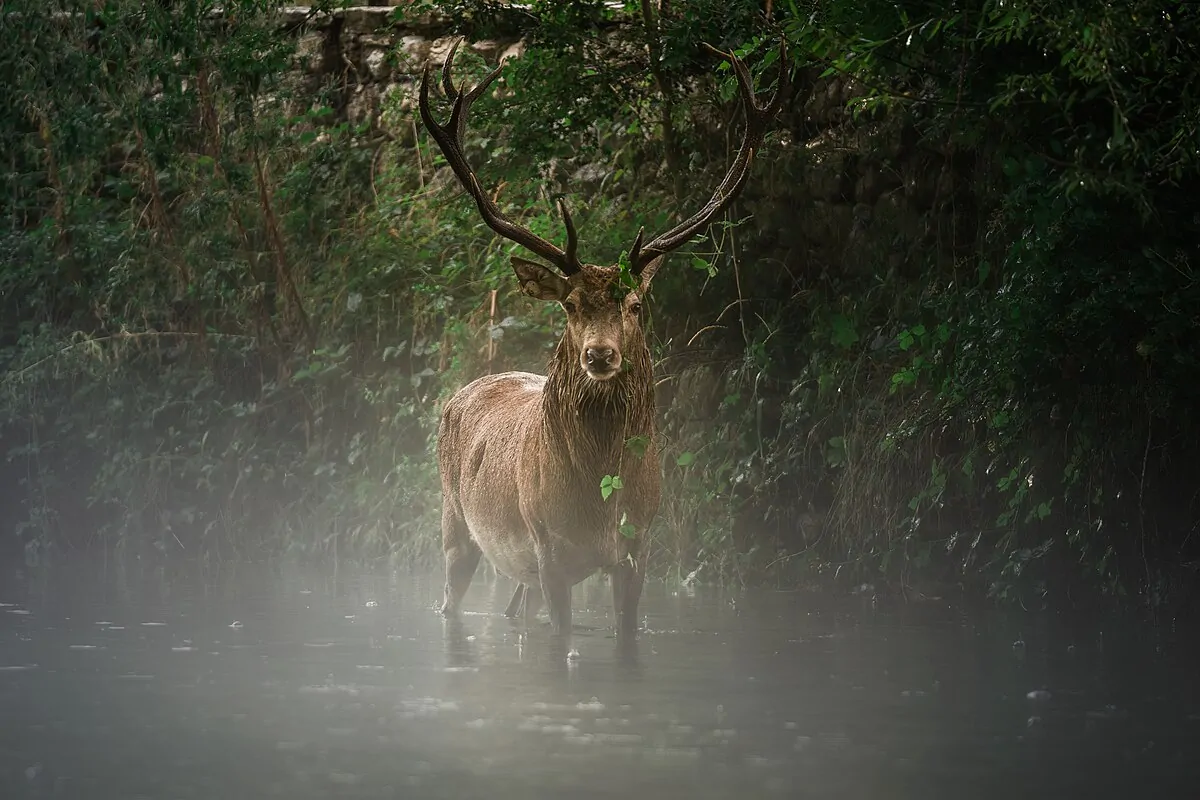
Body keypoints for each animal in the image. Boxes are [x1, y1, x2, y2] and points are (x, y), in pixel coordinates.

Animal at [422, 37, 787, 642]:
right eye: (570, 305)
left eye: (635, 305)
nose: (599, 353)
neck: (598, 504)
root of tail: (460, 392)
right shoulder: (547, 546)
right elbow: (562, 636)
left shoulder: (639, 546)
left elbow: (625, 634)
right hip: (456, 523)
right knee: (449, 598)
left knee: (514, 610)